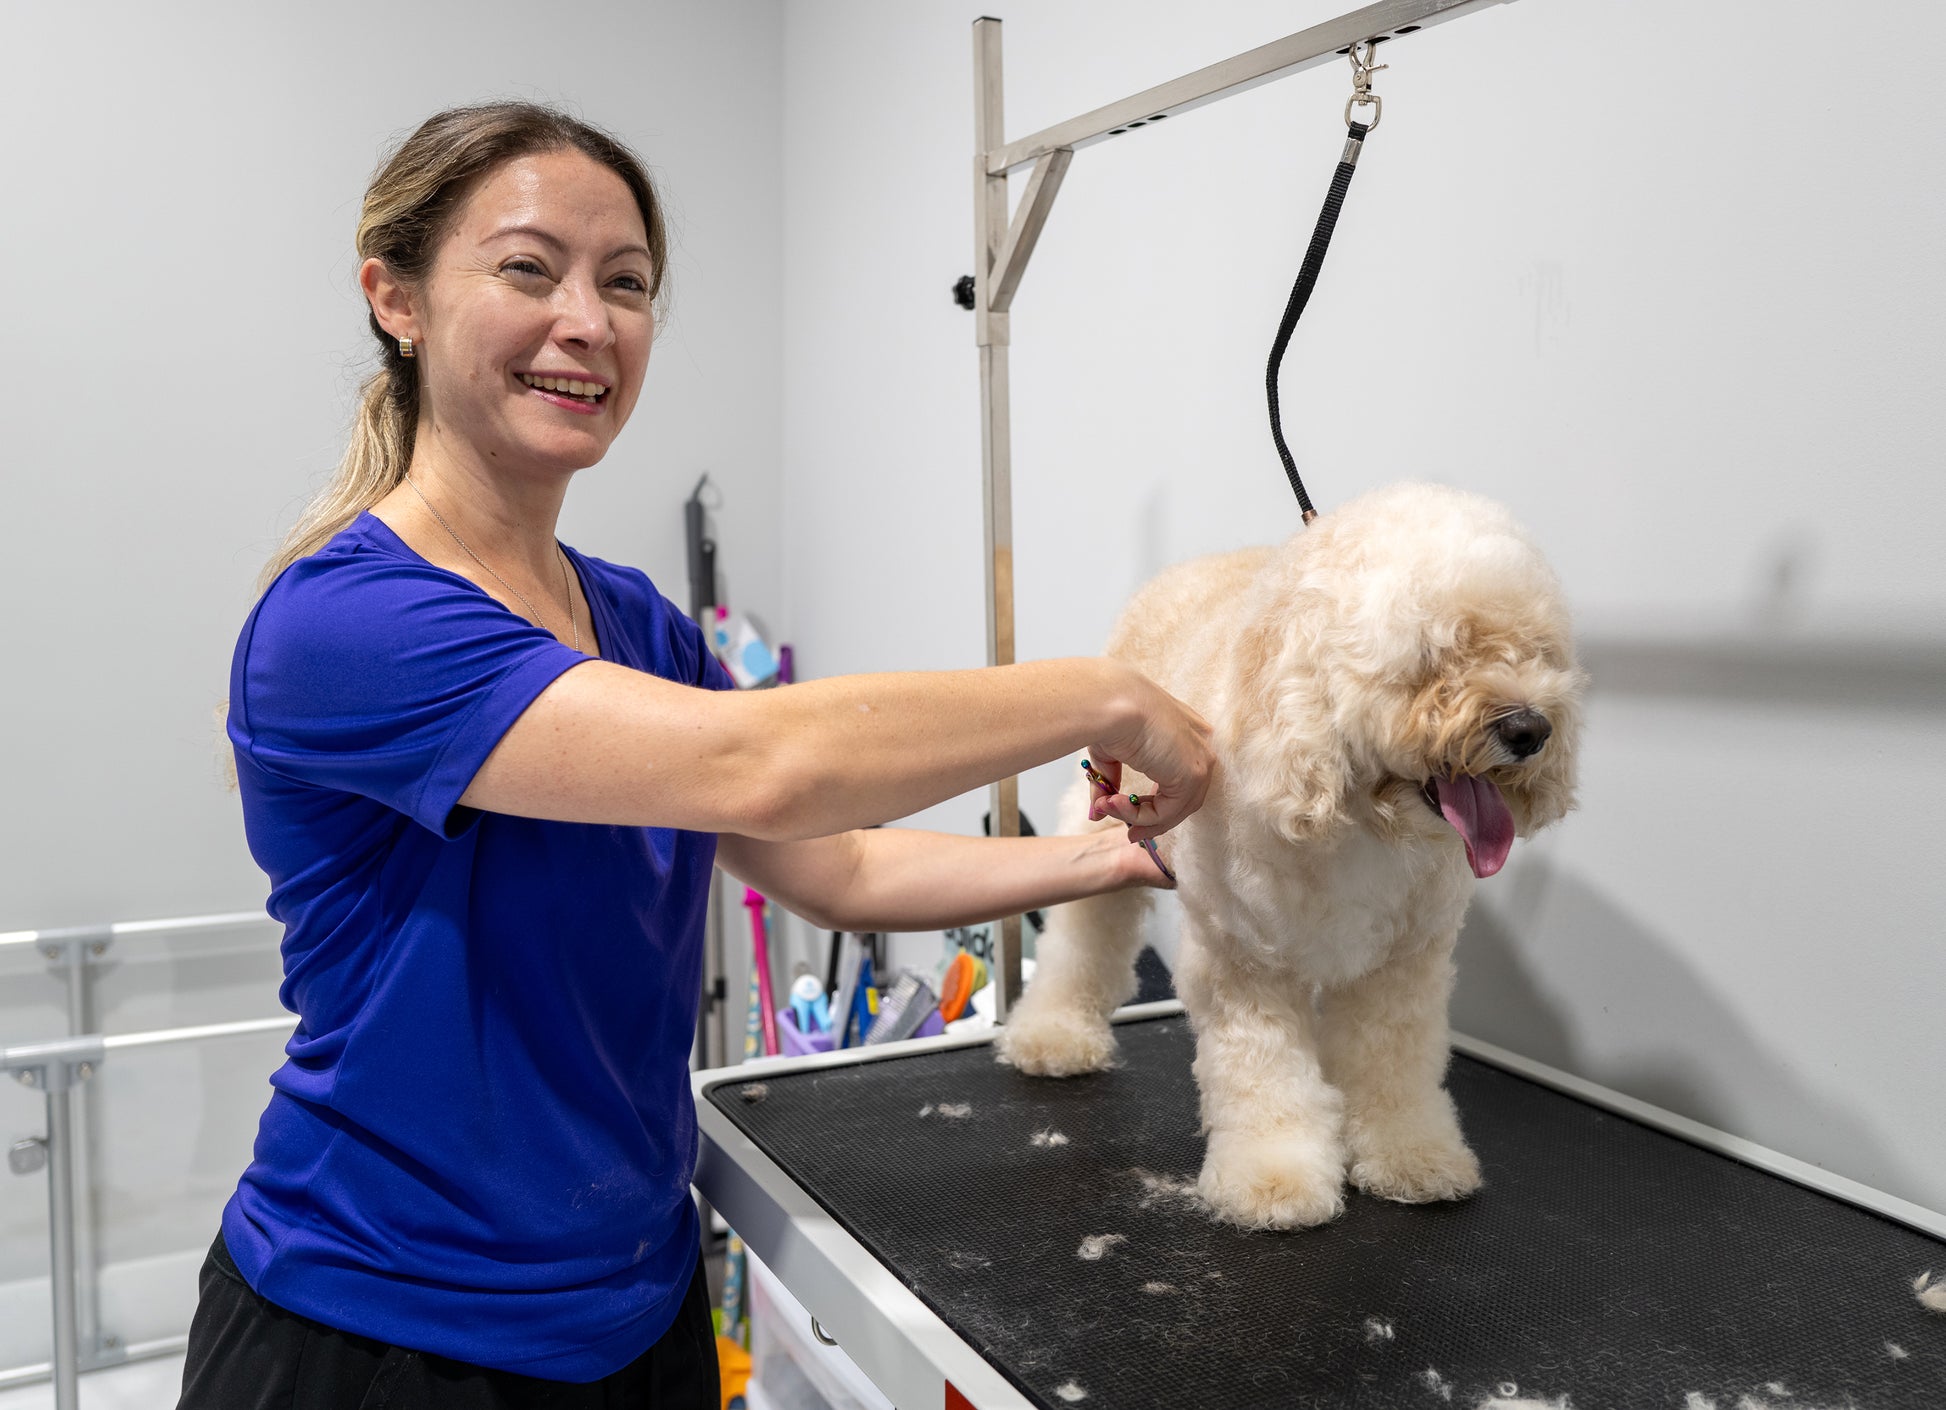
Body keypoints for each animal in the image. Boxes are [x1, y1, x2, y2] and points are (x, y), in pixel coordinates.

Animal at [1004, 486, 1580, 1229]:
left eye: (1535, 651)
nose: (1531, 729)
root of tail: (1184, 570)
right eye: (1434, 656)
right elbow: (1265, 1078)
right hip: (1099, 820)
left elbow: (1393, 1068)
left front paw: (1412, 1157)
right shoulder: (1245, 963)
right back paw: (1053, 1034)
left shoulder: (1401, 967)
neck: (1360, 820)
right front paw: (1274, 1180)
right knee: (1080, 939)